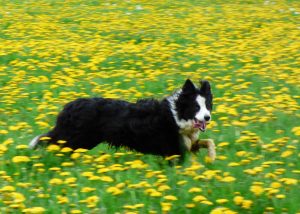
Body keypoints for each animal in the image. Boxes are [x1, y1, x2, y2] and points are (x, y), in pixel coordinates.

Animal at [29, 79, 214, 161]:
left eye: (207, 105)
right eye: (195, 107)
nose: (208, 117)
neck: (176, 114)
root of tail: (70, 105)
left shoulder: (188, 143)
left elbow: (209, 142)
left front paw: (211, 158)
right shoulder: (172, 147)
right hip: (76, 138)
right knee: (52, 142)